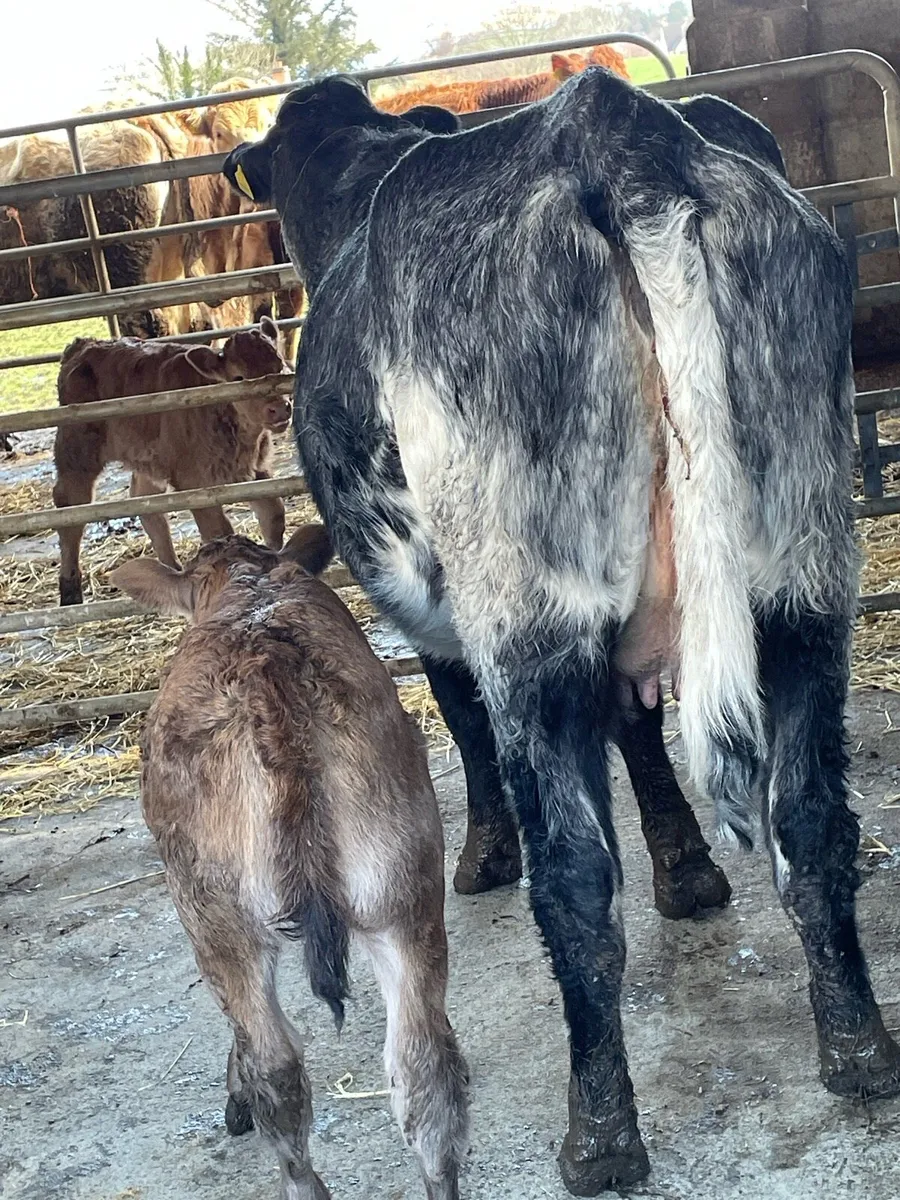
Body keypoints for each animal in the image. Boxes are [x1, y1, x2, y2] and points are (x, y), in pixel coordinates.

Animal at [53, 317, 290, 607]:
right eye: (238, 378)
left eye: (280, 366)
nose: (278, 409)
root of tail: (83, 345)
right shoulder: (195, 483)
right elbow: (220, 531)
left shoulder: (255, 472)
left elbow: (274, 515)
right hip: (77, 453)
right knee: (69, 511)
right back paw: (70, 591)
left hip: (146, 459)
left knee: (145, 503)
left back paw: (170, 572)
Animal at [223, 71, 900, 1193]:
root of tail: (618, 134)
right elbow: (640, 732)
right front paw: (688, 872)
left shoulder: (448, 627)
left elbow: (464, 726)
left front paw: (485, 855)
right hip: (805, 577)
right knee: (809, 816)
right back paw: (858, 1048)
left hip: (528, 617)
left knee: (578, 882)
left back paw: (599, 1134)